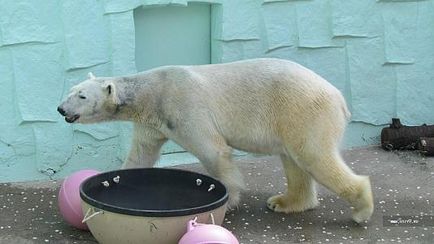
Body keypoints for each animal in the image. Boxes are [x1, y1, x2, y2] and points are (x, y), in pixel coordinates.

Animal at [58, 58, 372, 222]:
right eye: (71, 90)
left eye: (82, 96)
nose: (61, 109)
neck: (152, 93)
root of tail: (339, 97)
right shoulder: (153, 123)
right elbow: (140, 156)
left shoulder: (183, 106)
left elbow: (213, 151)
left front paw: (228, 200)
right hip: (291, 119)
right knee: (294, 160)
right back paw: (285, 202)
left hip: (303, 110)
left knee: (314, 156)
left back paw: (361, 209)